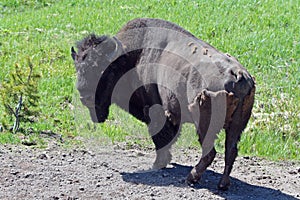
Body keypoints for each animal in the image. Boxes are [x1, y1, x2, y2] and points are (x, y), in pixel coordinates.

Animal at [71, 18, 254, 190]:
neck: (132, 58)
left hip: (204, 122)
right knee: (230, 151)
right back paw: (223, 184)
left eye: (102, 69)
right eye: (78, 67)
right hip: (236, 126)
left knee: (210, 152)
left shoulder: (154, 112)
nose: (84, 94)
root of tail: (238, 74)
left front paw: (158, 164)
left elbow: (160, 137)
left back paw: (191, 178)